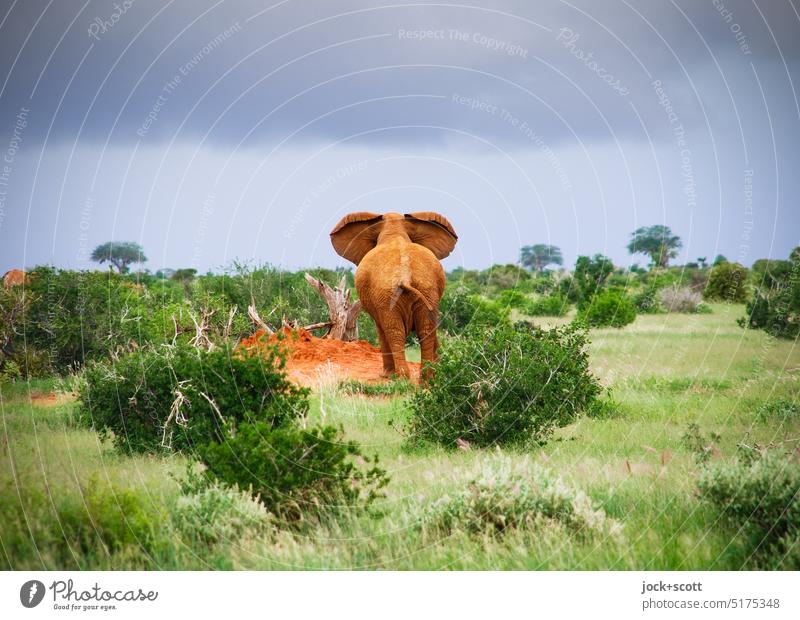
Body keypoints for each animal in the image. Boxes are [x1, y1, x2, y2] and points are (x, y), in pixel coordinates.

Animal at [330, 211, 456, 380]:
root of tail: (405, 276)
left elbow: (381, 330)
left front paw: (385, 375)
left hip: (388, 296)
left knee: (394, 332)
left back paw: (401, 379)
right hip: (425, 291)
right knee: (425, 330)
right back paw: (427, 381)